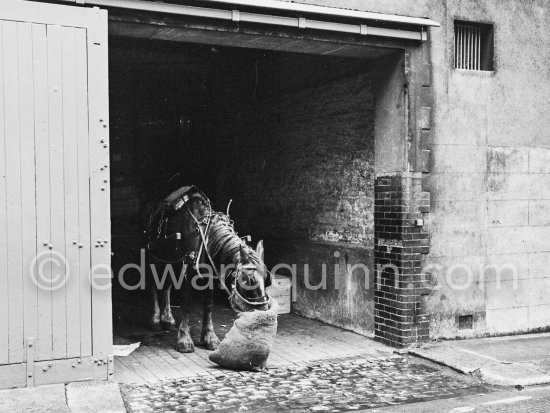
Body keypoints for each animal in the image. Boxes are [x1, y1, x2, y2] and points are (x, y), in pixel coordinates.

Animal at [146, 186, 272, 350]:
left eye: (267, 280)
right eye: (247, 280)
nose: (262, 312)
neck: (204, 235)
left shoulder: (211, 274)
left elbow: (208, 305)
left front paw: (209, 337)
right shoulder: (188, 271)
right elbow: (187, 304)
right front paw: (184, 339)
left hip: (171, 260)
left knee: (166, 285)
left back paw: (167, 318)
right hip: (154, 257)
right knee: (153, 284)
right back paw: (155, 320)